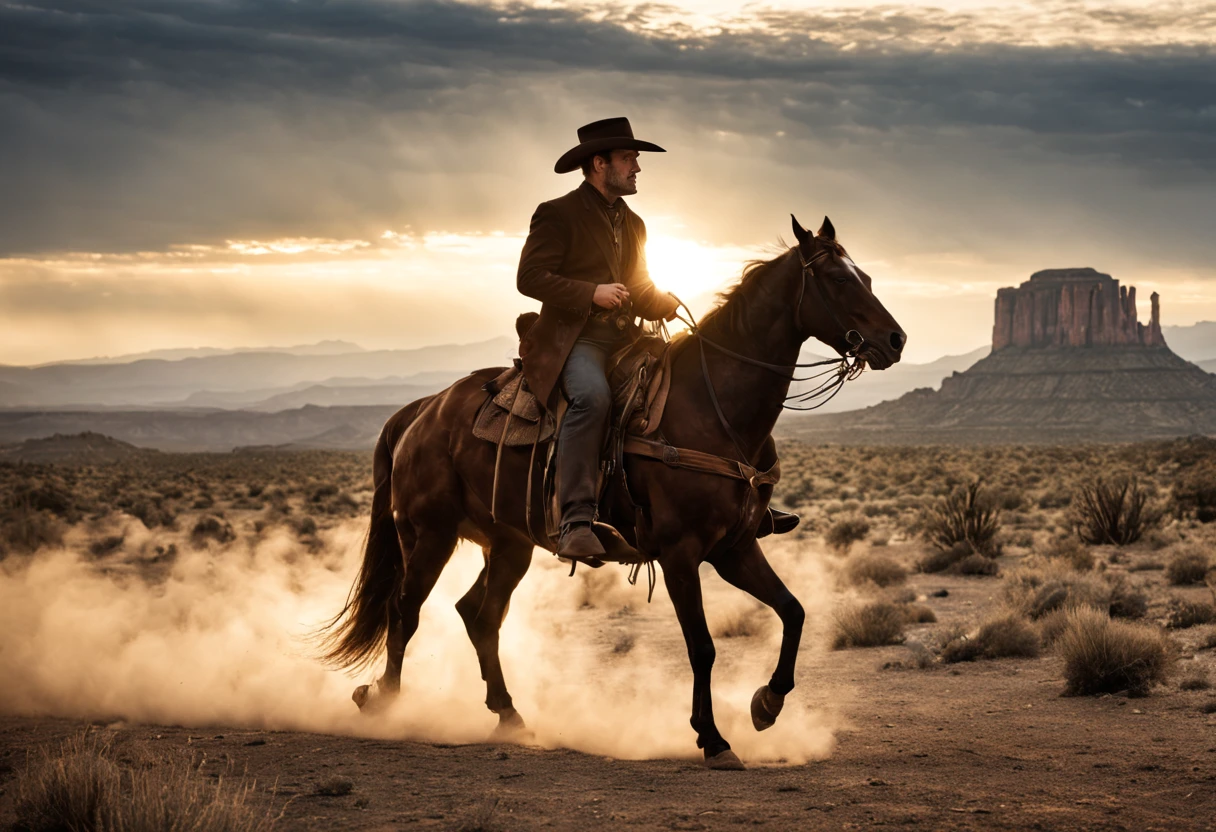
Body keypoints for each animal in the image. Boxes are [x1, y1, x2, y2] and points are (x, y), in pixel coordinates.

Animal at [318, 212, 909, 768]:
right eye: (838, 279)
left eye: (867, 276)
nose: (896, 340)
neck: (714, 408)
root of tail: (421, 410)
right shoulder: (680, 553)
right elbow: (702, 647)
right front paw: (713, 738)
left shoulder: (736, 548)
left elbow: (793, 611)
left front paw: (766, 704)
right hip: (429, 534)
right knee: (405, 609)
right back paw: (386, 704)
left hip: (509, 542)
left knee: (478, 615)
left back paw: (508, 714)